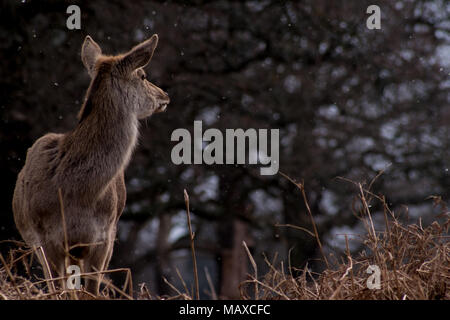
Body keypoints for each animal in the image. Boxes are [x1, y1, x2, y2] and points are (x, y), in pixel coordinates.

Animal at [12, 33, 171, 296]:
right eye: (143, 75)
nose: (164, 95)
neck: (77, 192)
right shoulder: (47, 238)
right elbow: (59, 289)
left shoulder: (102, 238)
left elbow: (91, 291)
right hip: (36, 244)